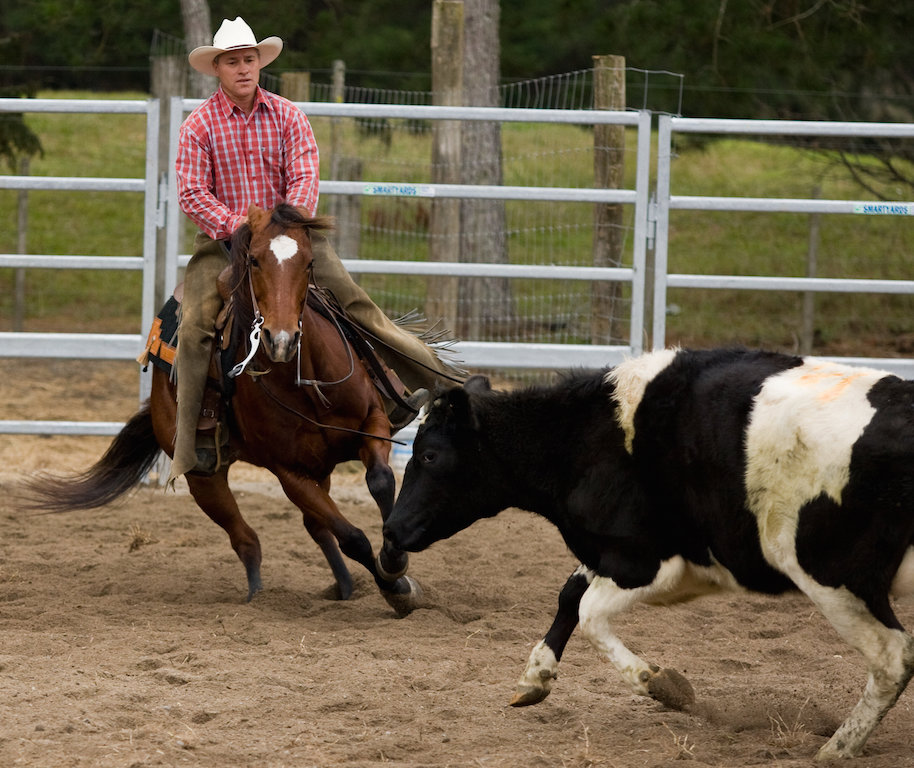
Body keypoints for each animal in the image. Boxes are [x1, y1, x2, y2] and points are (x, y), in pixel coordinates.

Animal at [21, 204, 420, 612]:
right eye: (255, 260)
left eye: (309, 262)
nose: (281, 340)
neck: (307, 381)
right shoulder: (289, 472)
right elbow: (352, 536)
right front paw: (397, 588)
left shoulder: (371, 423)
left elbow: (381, 480)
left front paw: (394, 557)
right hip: (205, 478)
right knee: (248, 539)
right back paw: (257, 595)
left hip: (318, 466)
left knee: (313, 527)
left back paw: (344, 587)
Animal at [384, 350, 912, 760]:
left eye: (428, 454)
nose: (390, 529)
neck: (586, 438)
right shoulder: (612, 553)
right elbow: (569, 594)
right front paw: (535, 677)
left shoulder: (647, 563)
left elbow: (588, 611)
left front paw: (663, 685)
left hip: (835, 577)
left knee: (893, 659)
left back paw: (837, 748)